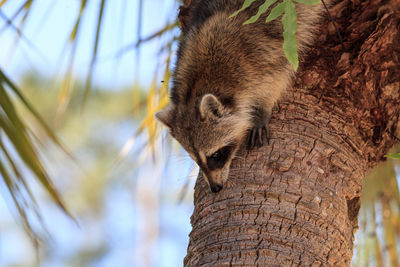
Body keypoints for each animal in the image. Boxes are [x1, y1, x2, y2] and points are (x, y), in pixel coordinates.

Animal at [156, 0, 328, 193]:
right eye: (196, 159)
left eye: (216, 155)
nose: (215, 188)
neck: (196, 86)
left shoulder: (261, 55)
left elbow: (278, 80)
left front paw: (262, 111)